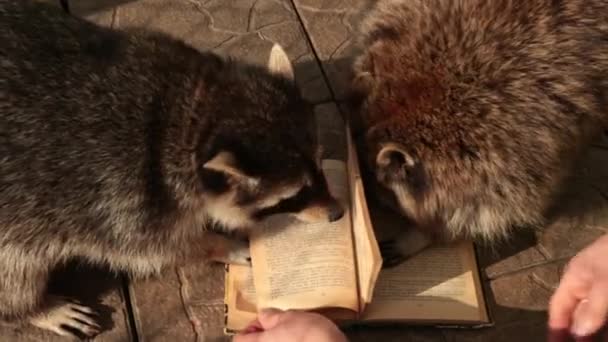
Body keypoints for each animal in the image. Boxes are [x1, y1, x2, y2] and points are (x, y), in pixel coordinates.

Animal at [0, 0, 342, 336]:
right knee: (16, 269)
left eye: (320, 167)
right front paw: (218, 244)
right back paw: (31, 309)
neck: (194, 110)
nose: (338, 214)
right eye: (295, 195)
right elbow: (152, 249)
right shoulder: (121, 195)